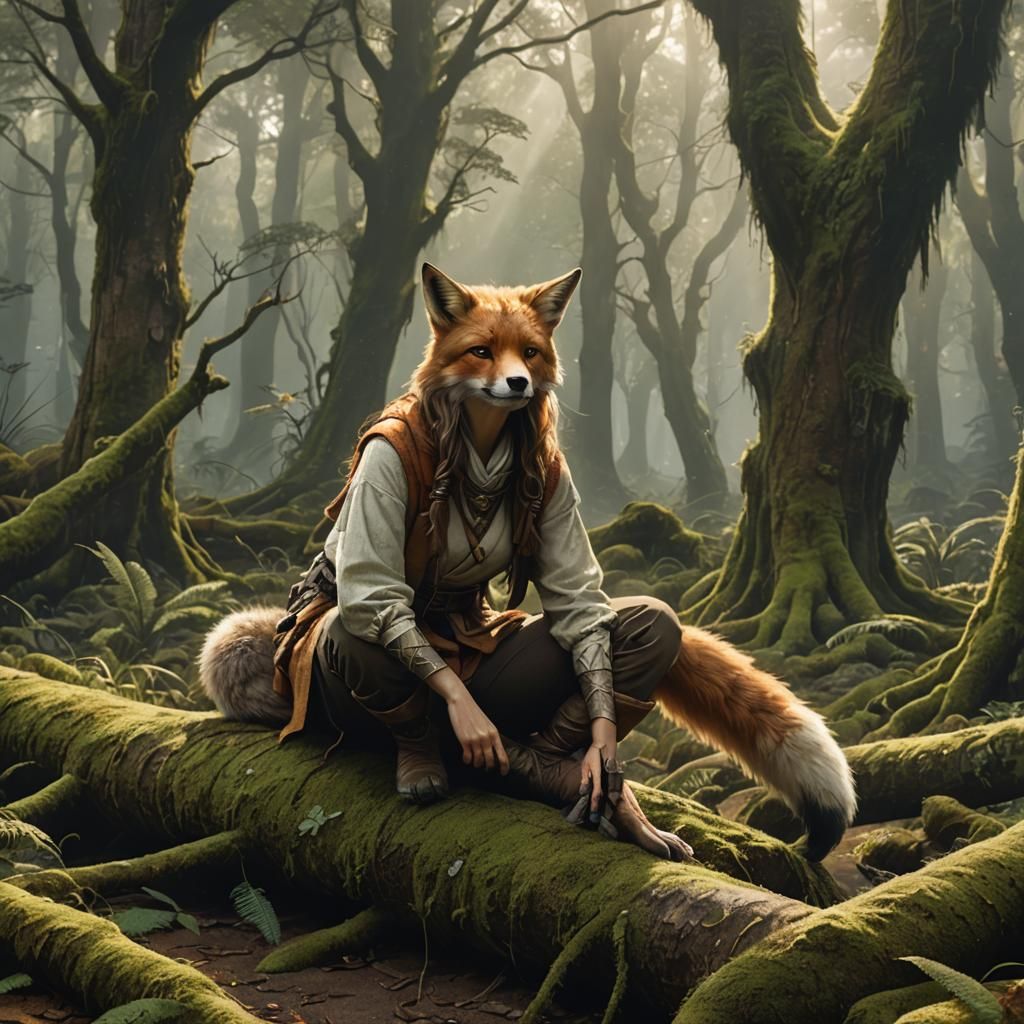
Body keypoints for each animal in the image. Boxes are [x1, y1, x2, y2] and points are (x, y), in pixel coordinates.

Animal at [201, 264, 856, 861]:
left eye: (531, 353)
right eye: (481, 351)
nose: (517, 384)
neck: (476, 447)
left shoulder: (557, 481)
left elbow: (586, 622)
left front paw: (602, 780)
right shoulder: (384, 470)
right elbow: (386, 610)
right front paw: (462, 742)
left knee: (635, 638)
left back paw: (583, 787)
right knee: (370, 646)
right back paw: (428, 765)